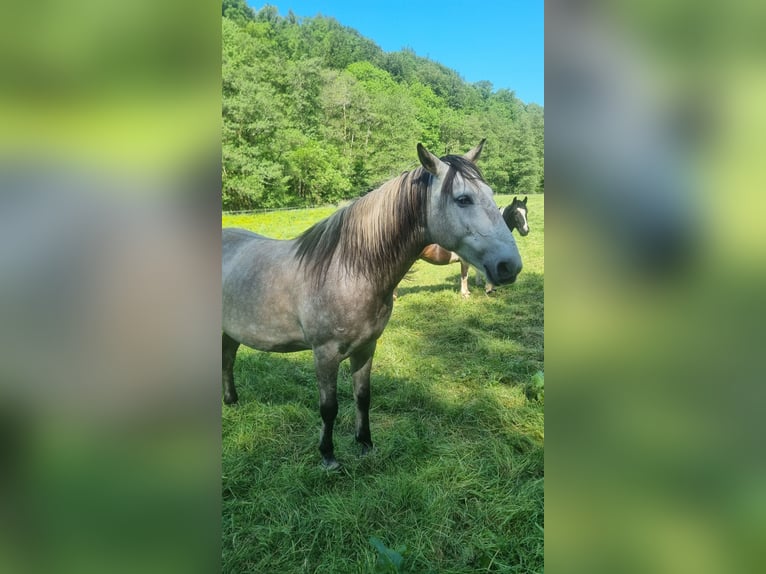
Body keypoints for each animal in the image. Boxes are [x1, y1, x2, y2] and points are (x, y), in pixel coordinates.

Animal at [222, 140, 522, 469]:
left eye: (491, 194)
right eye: (463, 199)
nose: (510, 266)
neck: (348, 270)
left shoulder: (367, 347)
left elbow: (362, 396)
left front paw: (365, 444)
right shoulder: (324, 354)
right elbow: (329, 406)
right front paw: (328, 455)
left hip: (229, 334)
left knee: (227, 361)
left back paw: (231, 401)